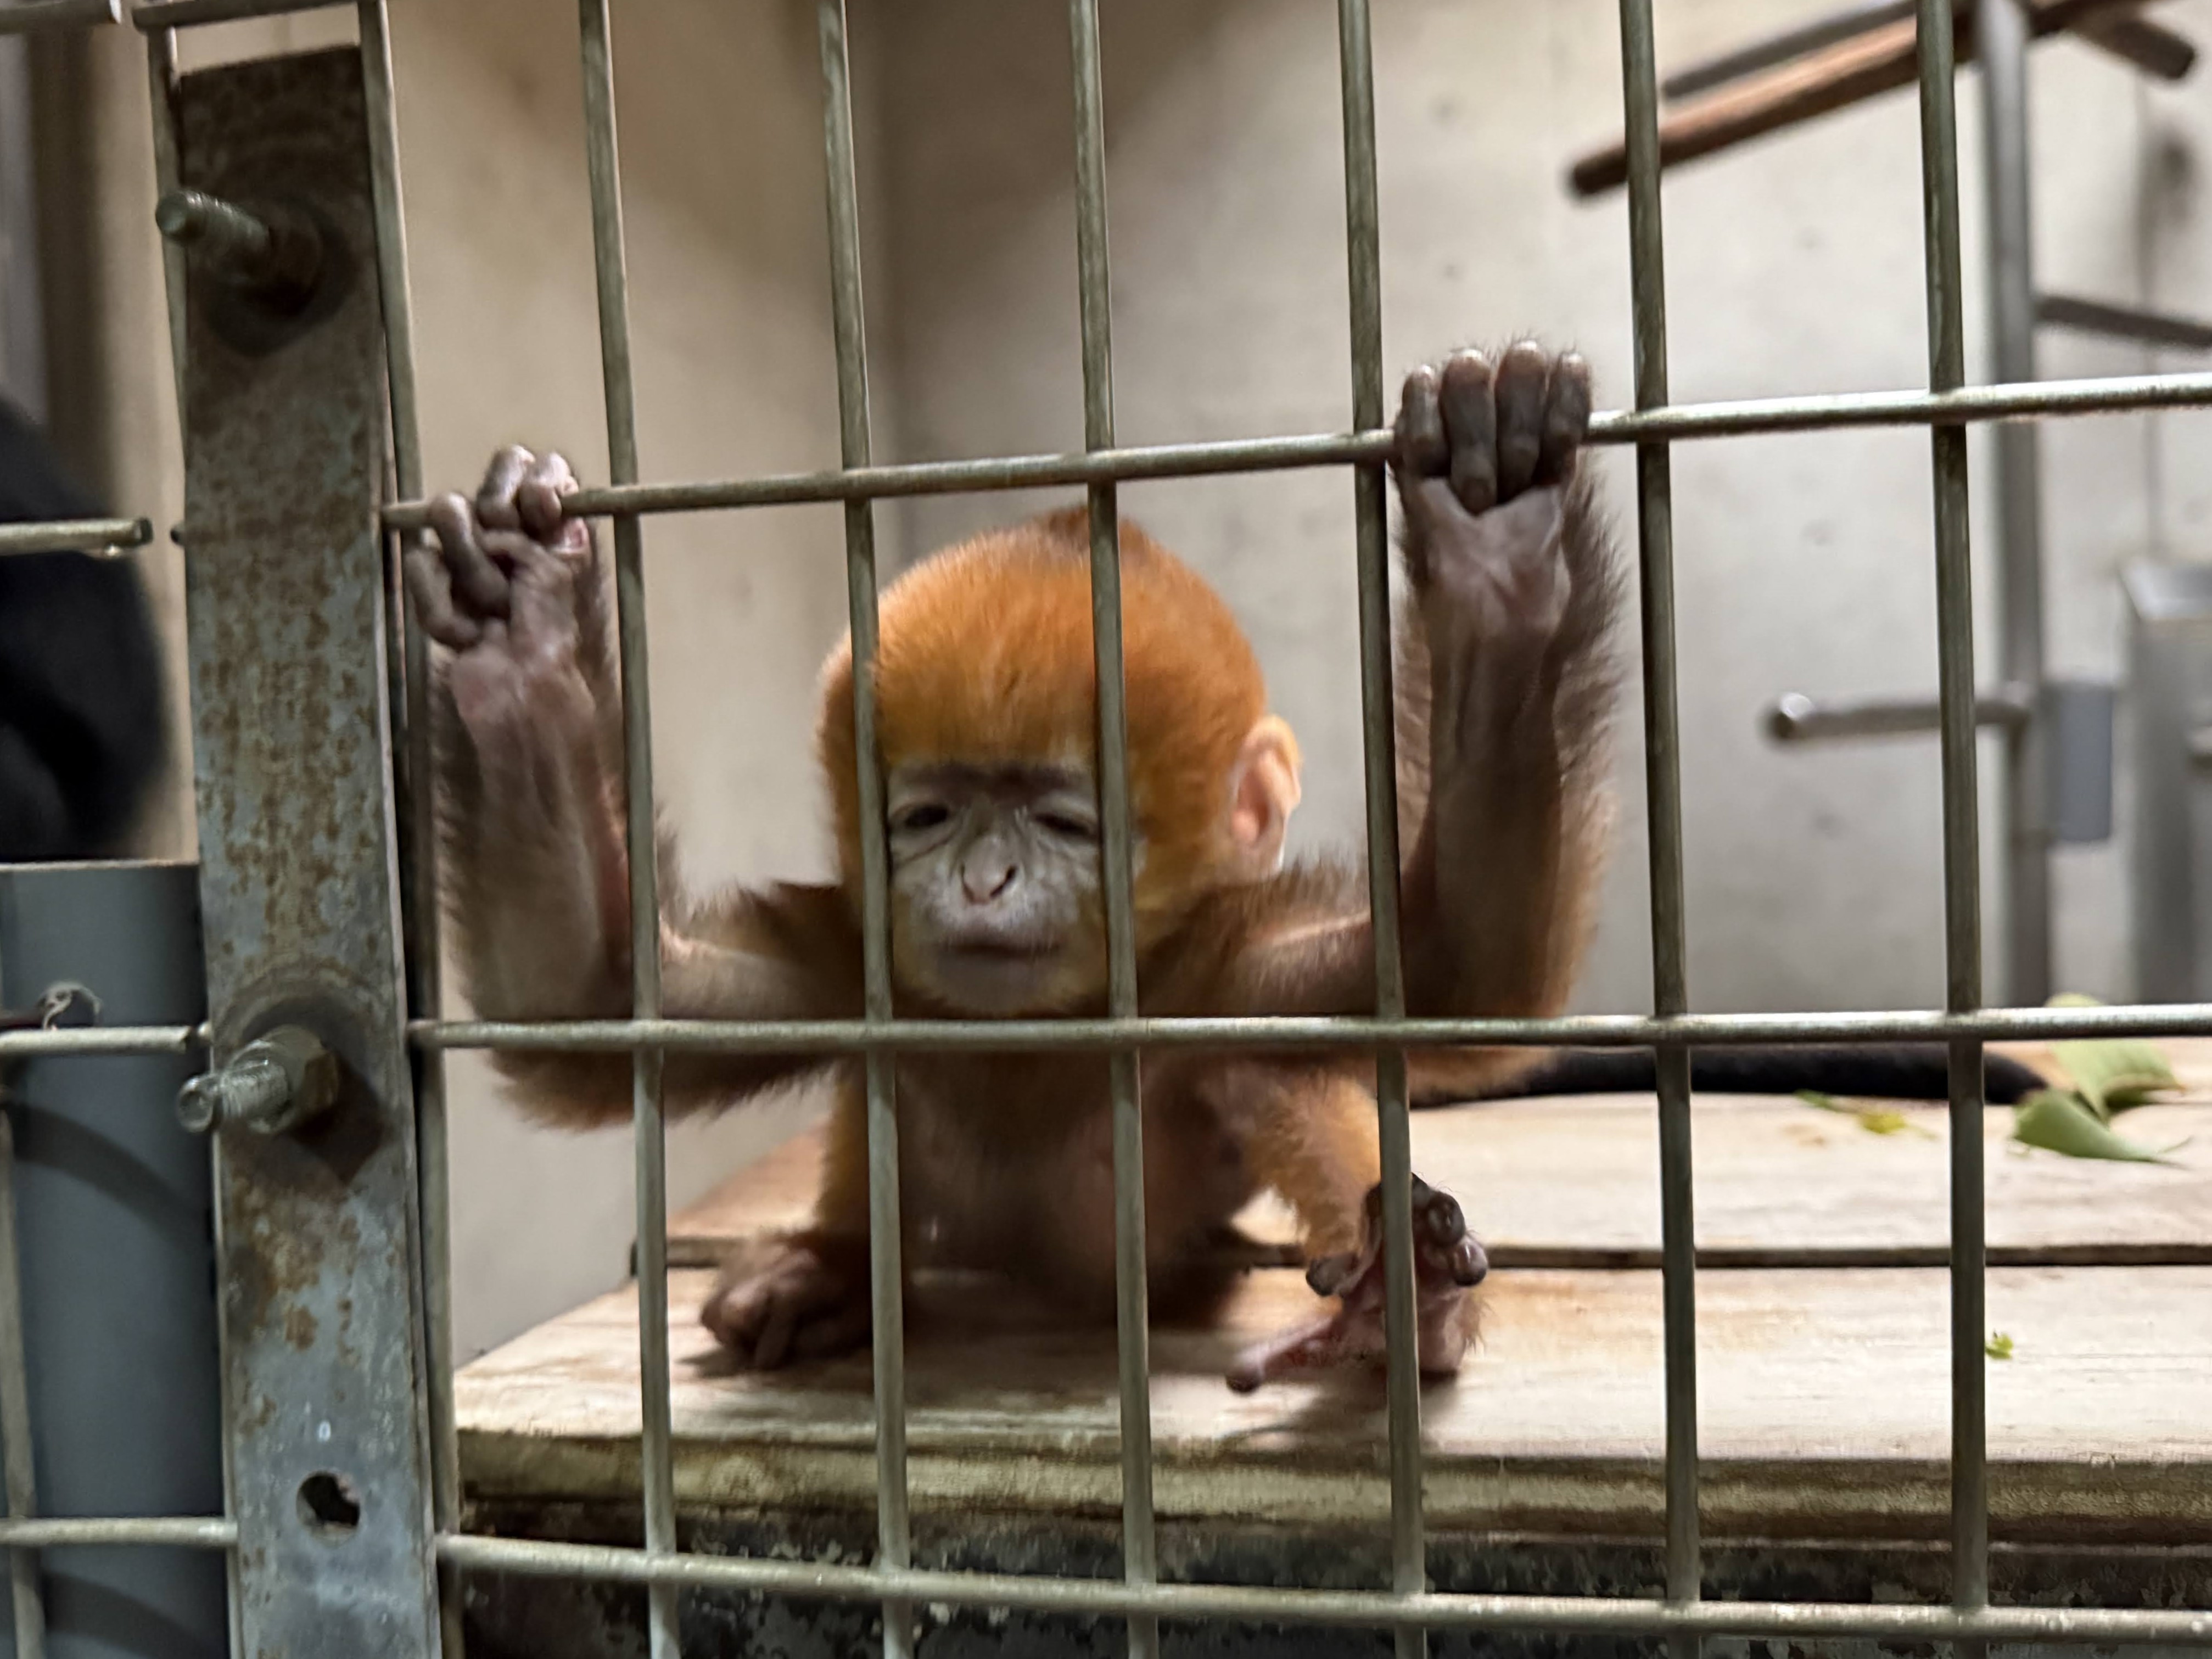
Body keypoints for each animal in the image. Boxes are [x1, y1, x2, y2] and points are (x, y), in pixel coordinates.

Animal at [410, 340, 1616, 1392]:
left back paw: (1397, 1313)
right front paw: (522, 638)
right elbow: (585, 998)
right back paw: (834, 1272)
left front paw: (1495, 560)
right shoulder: (849, 957)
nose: (982, 880)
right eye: (926, 817)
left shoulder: (1220, 973)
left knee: (1264, 1079)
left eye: (1064, 824)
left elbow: (1459, 965)